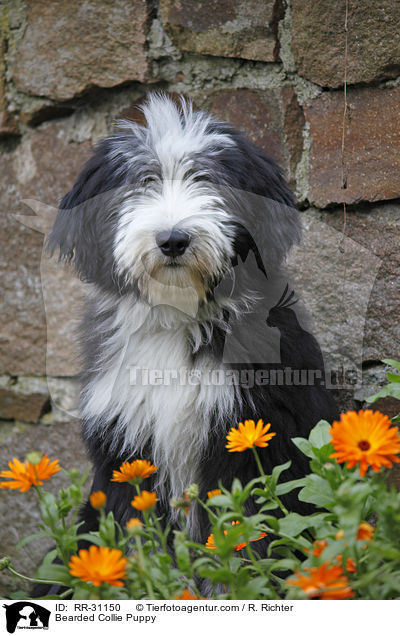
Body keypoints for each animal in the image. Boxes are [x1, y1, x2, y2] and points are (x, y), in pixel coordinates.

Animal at [48, 93, 340, 548]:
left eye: (206, 179)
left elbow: (249, 533)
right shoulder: (127, 453)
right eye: (143, 181)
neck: (178, 314)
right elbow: (136, 535)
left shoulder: (250, 437)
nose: (173, 240)